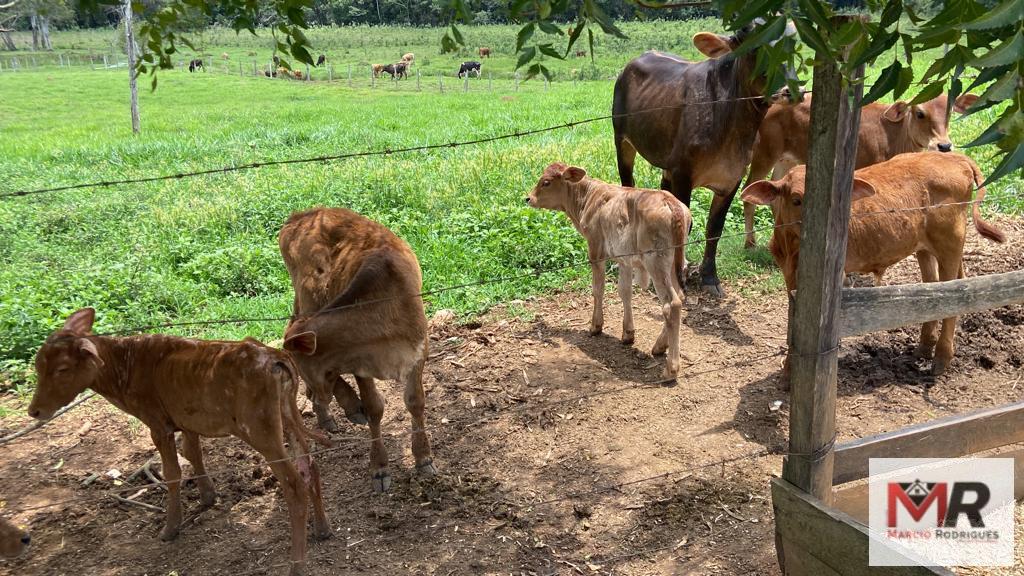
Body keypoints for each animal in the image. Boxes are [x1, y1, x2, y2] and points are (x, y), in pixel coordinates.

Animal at [27, 309, 331, 573]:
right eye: (39, 366)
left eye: (62, 369)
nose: (34, 411)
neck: (124, 367)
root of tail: (275, 357)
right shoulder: (187, 420)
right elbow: (192, 452)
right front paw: (208, 497)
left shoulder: (157, 423)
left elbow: (172, 472)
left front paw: (171, 527)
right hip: (287, 416)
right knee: (309, 466)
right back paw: (322, 529)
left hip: (261, 430)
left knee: (294, 485)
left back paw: (297, 564)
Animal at [278, 208, 434, 491]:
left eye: (297, 368)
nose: (315, 393)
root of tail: (301, 216)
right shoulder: (360, 365)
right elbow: (374, 408)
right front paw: (379, 468)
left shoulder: (419, 350)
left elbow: (415, 402)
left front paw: (423, 458)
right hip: (307, 298)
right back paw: (343, 408)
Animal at [524, 162, 692, 377]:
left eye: (546, 182)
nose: (529, 198)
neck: (587, 197)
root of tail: (671, 203)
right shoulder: (625, 259)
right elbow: (625, 292)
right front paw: (628, 334)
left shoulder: (595, 250)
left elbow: (598, 290)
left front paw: (596, 326)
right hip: (674, 262)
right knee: (680, 296)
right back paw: (659, 346)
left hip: (656, 262)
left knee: (672, 304)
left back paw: (671, 368)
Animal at [745, 91, 983, 247]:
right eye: (920, 113)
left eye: (949, 113)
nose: (944, 146)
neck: (894, 136)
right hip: (764, 154)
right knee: (749, 191)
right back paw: (750, 242)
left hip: (787, 159)